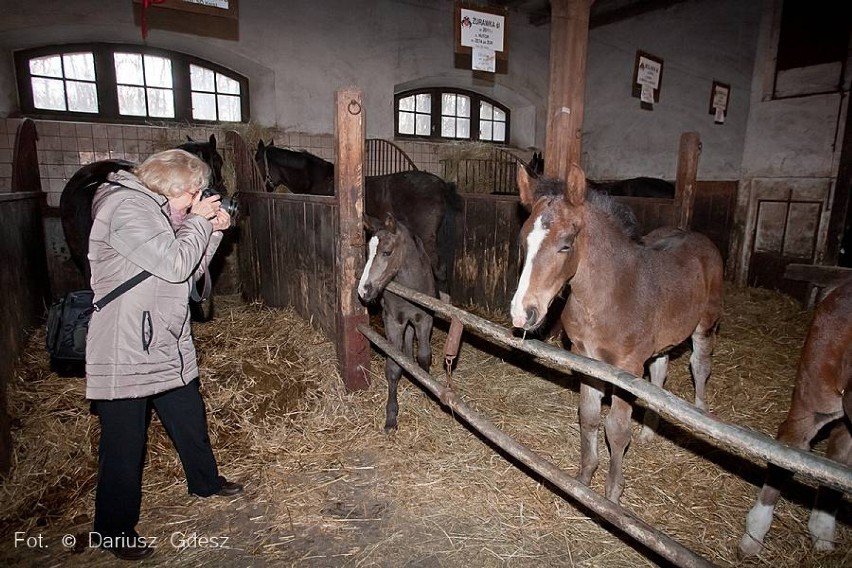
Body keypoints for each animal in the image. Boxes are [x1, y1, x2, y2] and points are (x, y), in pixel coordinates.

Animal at [256, 139, 462, 290]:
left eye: (257, 161)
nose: (264, 187)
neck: (319, 180)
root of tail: (441, 185)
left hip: (427, 238)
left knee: (439, 270)